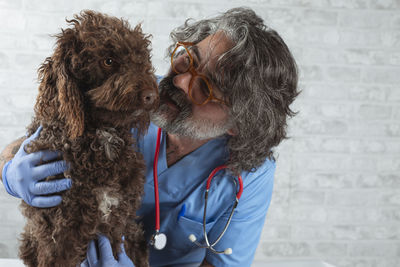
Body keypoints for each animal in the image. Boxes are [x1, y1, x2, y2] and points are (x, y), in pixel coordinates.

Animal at [18, 9, 159, 266]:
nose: (151, 96)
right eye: (108, 60)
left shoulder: (118, 222)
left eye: (142, 58)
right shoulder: (60, 233)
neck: (99, 137)